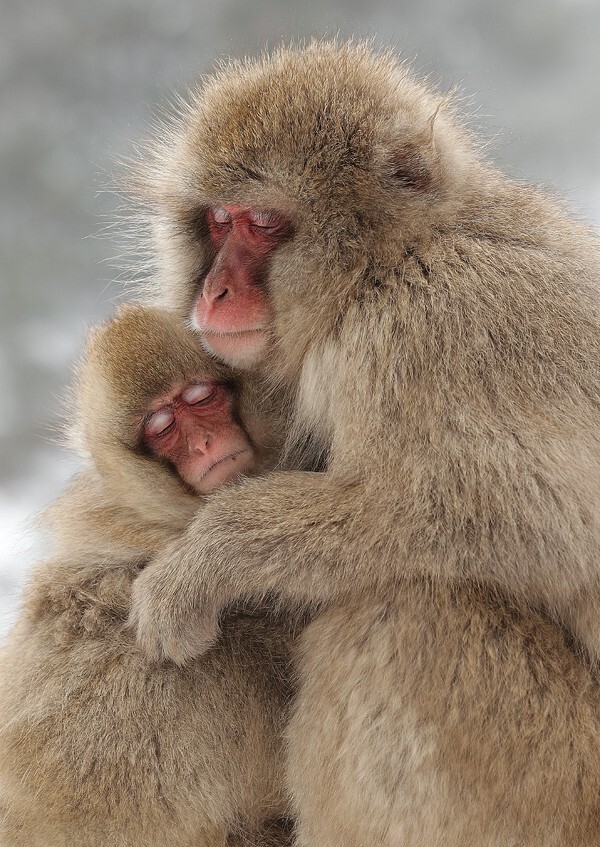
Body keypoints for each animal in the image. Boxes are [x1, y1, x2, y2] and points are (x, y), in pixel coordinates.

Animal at [130, 43, 600, 844]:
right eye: (218, 221)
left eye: (263, 222)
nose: (213, 294)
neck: (389, 262)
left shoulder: (427, 331)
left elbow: (526, 517)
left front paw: (201, 562)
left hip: (564, 783)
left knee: (405, 613)